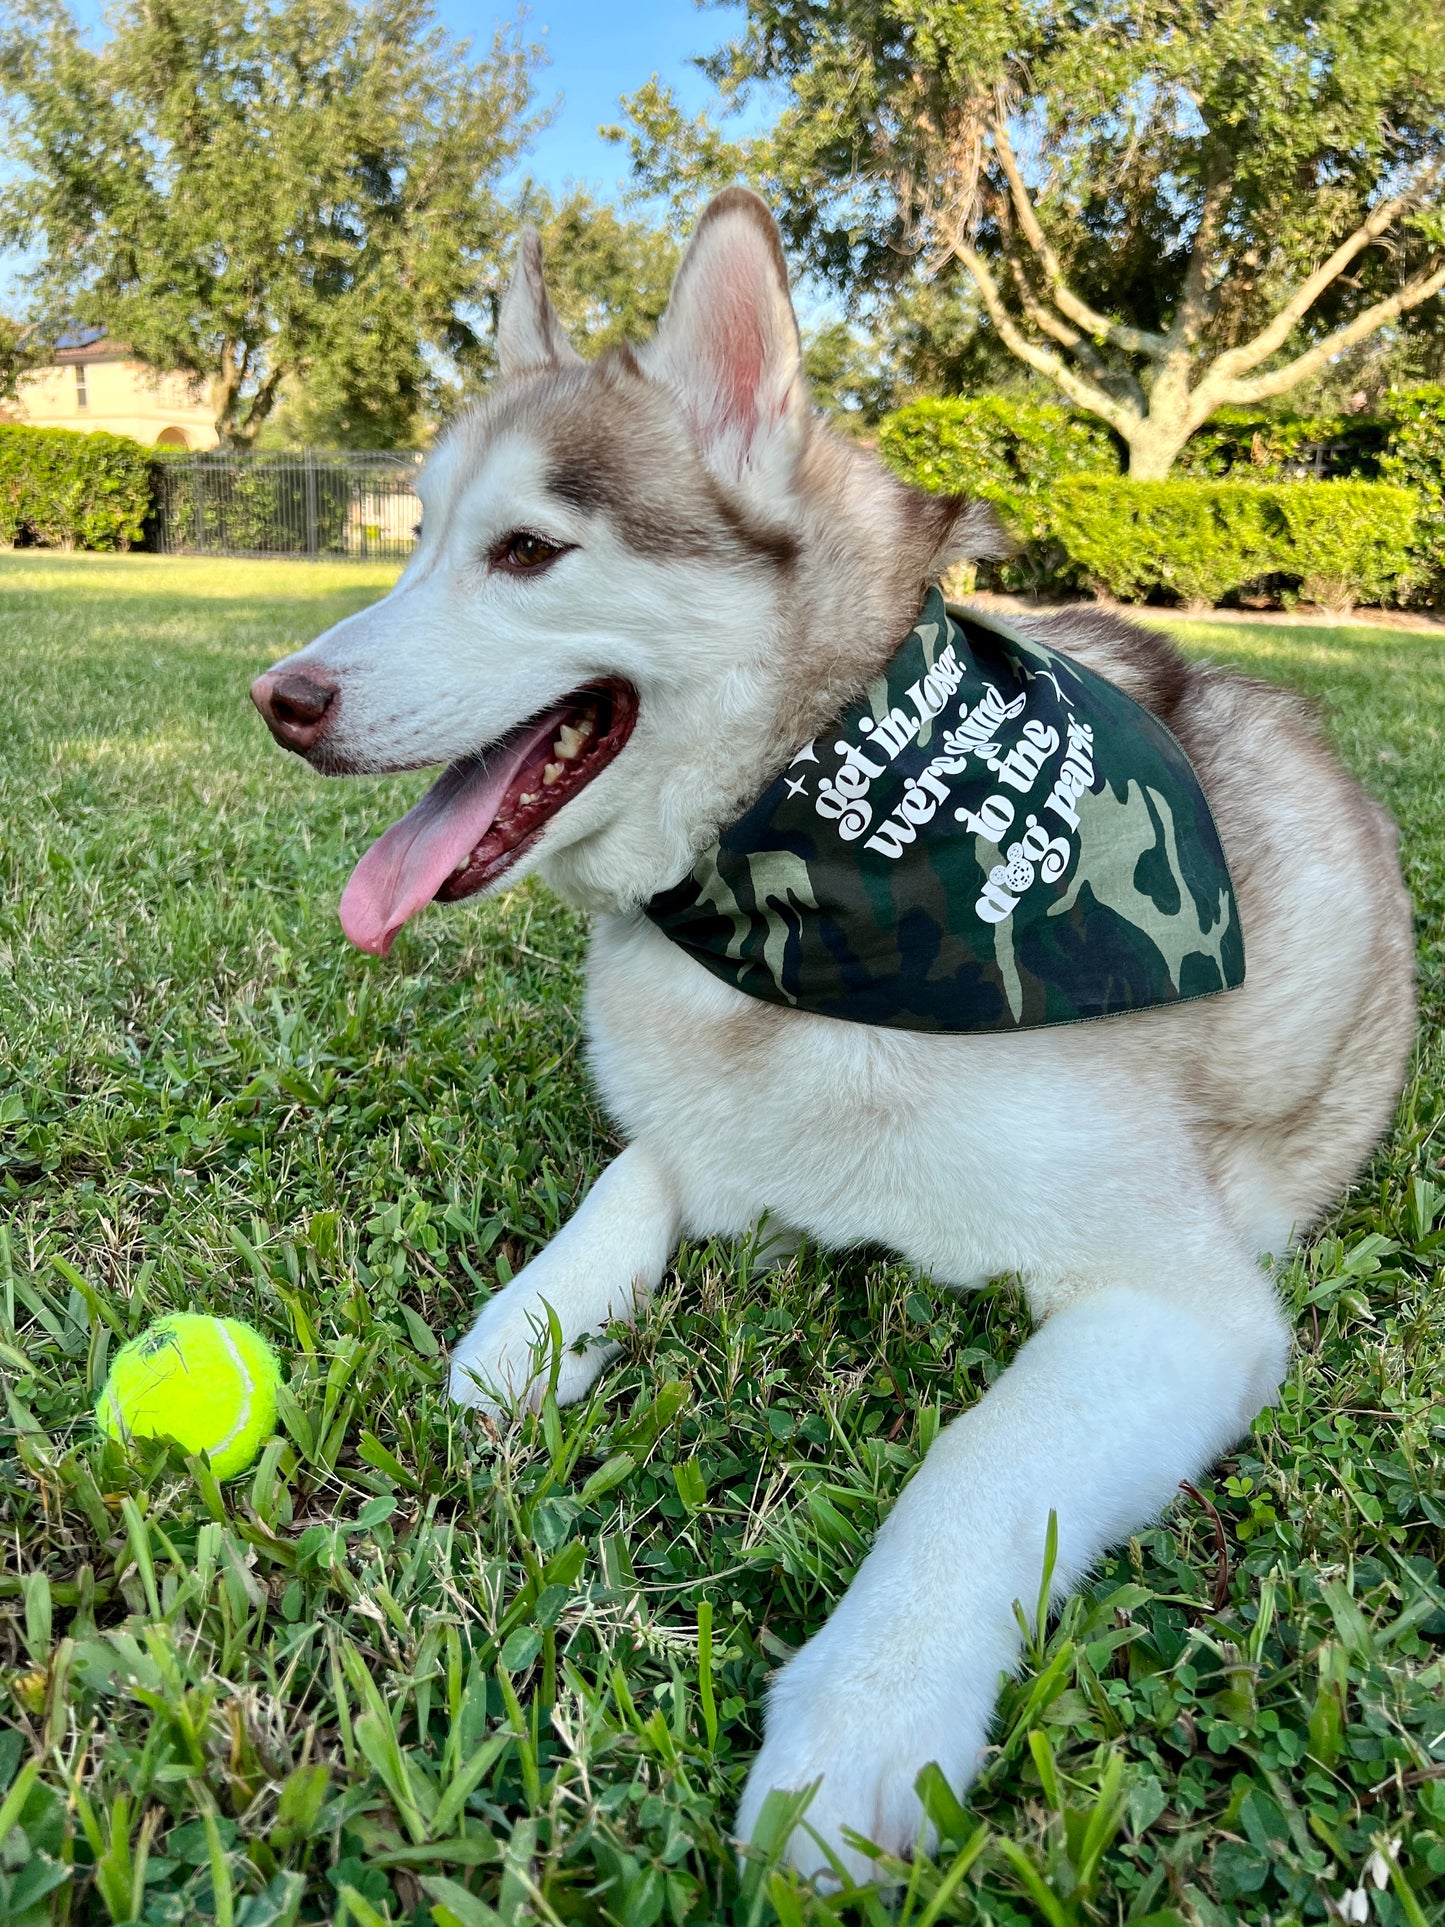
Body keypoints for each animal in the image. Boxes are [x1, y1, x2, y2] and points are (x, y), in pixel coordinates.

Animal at [252, 187, 1418, 1873]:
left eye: (527, 551)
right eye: (416, 544)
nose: (279, 695)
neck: (812, 875)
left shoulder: (1182, 1303)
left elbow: (978, 1456)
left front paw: (864, 1713)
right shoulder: (700, 1112)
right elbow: (634, 1174)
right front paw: (526, 1332)